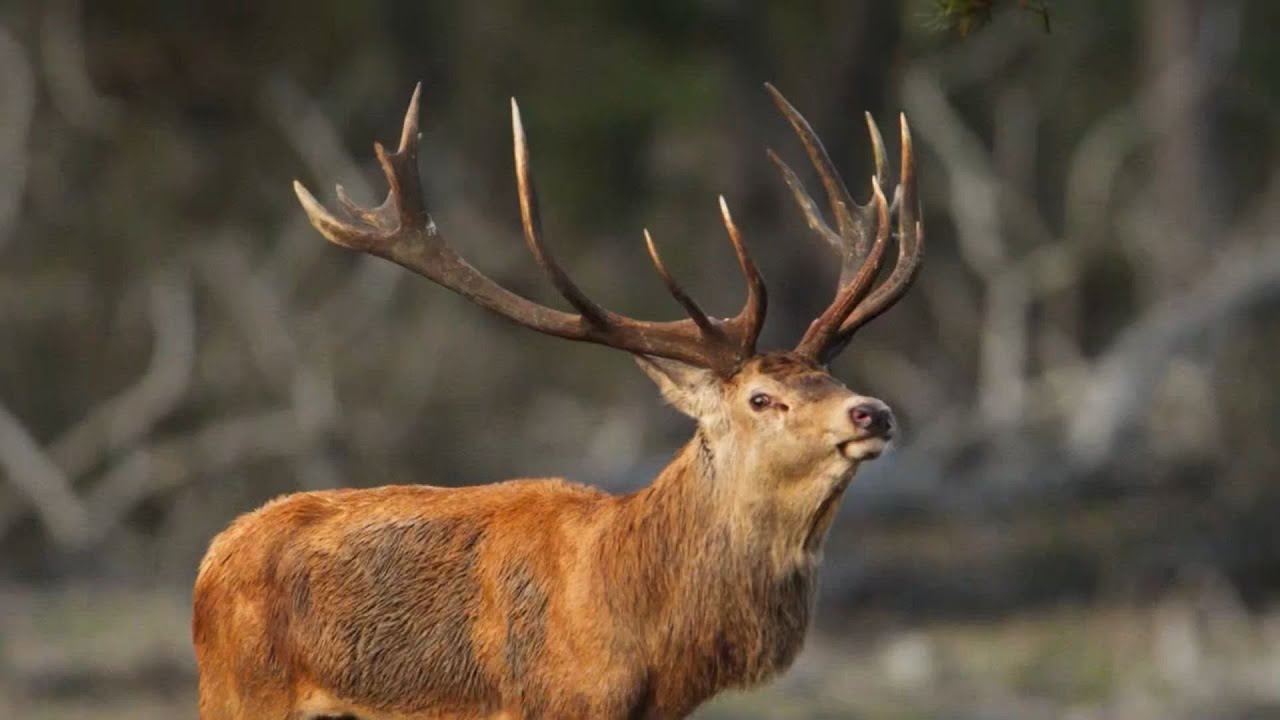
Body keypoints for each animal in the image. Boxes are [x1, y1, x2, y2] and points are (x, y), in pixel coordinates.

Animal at [192, 82, 922, 720]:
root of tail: (210, 560)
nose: (873, 412)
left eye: (831, 379)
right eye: (762, 399)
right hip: (240, 693)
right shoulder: (550, 704)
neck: (649, 651)